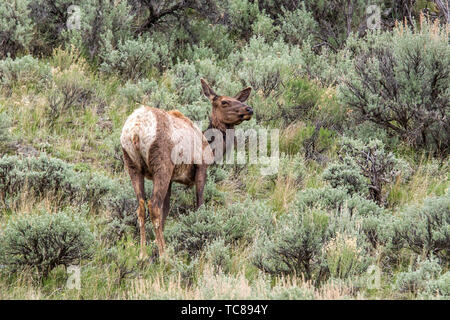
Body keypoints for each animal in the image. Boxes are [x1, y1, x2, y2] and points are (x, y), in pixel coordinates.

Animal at [119, 78, 253, 258]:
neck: (211, 149)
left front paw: (155, 244)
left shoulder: (171, 179)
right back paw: (164, 256)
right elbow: (199, 204)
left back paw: (143, 254)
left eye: (238, 99)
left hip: (132, 165)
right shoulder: (201, 167)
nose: (249, 109)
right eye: (224, 102)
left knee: (141, 206)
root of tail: (135, 130)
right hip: (162, 165)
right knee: (153, 205)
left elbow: (166, 210)